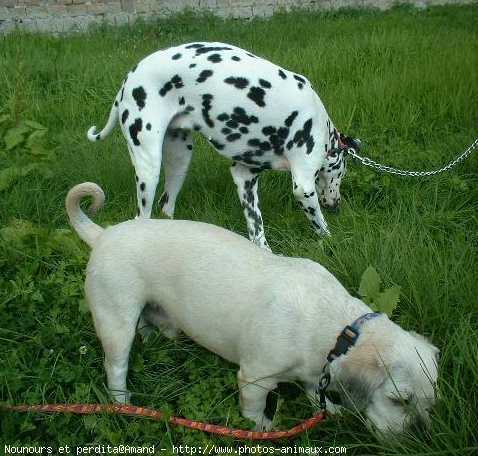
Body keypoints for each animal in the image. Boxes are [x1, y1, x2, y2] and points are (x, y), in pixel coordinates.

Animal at [65, 180, 438, 432]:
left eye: (431, 403)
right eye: (398, 401)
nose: (420, 431)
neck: (337, 329)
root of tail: (103, 234)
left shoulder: (314, 372)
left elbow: (314, 390)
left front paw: (330, 408)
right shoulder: (255, 380)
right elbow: (255, 413)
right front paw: (262, 430)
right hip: (115, 324)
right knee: (116, 368)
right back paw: (124, 404)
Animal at [88, 41, 360, 249]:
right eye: (342, 172)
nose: (337, 206)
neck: (321, 124)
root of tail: (129, 79)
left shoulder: (244, 177)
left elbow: (257, 231)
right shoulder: (303, 187)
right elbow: (320, 225)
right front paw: (332, 240)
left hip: (179, 162)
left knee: (166, 206)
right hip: (148, 169)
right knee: (142, 215)